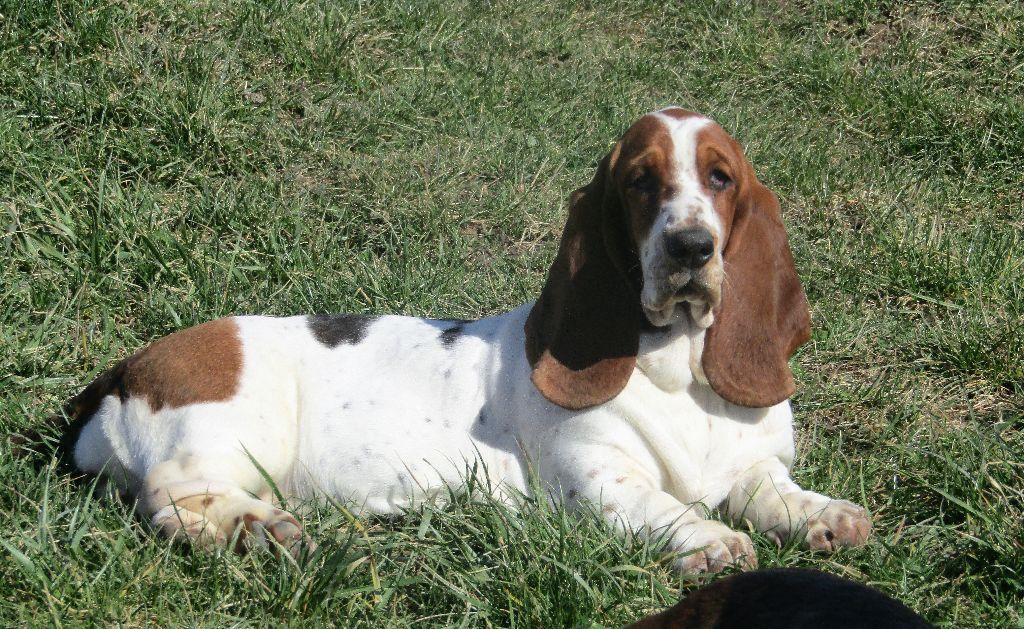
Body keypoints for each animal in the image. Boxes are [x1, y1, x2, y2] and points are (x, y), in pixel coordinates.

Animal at [36, 107, 868, 573]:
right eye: (640, 181)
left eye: (721, 179)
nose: (691, 247)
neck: (678, 367)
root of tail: (119, 374)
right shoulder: (598, 478)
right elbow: (661, 506)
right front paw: (709, 538)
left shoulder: (754, 465)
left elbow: (772, 489)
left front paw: (823, 513)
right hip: (236, 432)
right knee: (169, 497)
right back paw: (259, 529)